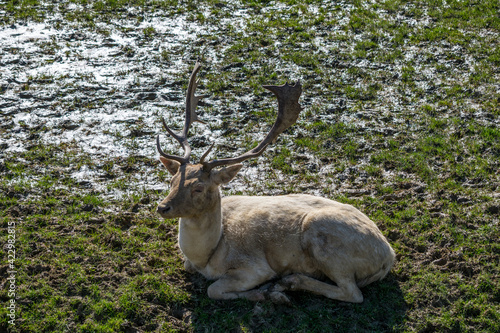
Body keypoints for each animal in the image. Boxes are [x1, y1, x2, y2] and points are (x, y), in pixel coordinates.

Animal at [156, 62, 394, 304]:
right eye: (172, 180)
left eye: (198, 188)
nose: (162, 207)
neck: (206, 257)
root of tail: (388, 256)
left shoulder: (255, 267)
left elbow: (213, 289)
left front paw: (267, 293)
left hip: (325, 241)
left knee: (352, 293)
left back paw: (288, 282)